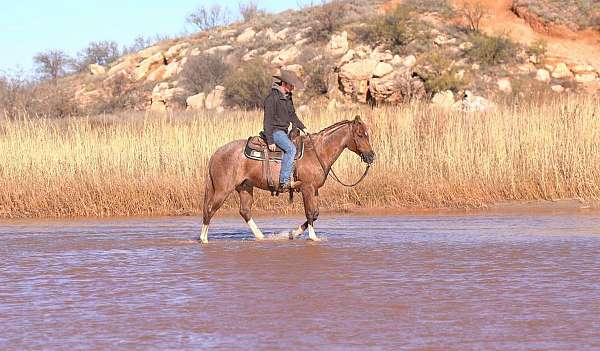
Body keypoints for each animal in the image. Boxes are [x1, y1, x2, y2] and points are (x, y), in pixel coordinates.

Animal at [200, 117, 376, 243]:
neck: (317, 152)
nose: (371, 156)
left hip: (244, 187)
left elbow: (316, 213)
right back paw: (204, 239)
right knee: (209, 209)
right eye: (360, 135)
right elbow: (310, 212)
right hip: (223, 189)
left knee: (244, 211)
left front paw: (293, 233)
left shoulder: (315, 189)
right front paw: (313, 237)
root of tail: (217, 153)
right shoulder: (307, 188)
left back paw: (260, 236)